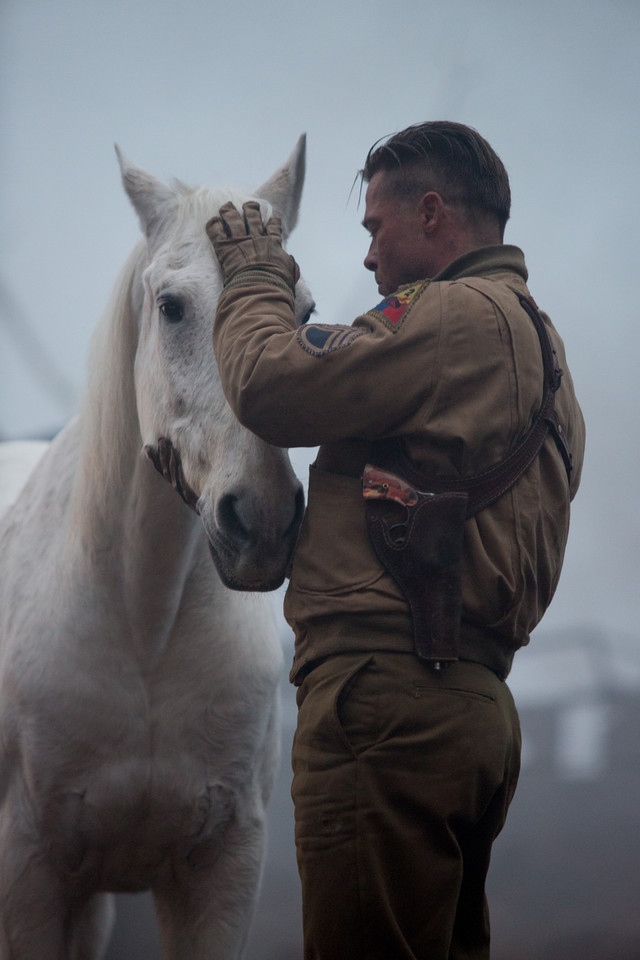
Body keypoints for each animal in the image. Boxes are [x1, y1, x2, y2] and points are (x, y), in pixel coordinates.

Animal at [0, 137, 310, 960]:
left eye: (305, 314)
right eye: (171, 306)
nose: (262, 519)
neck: (144, 629)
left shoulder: (222, 874)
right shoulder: (27, 873)